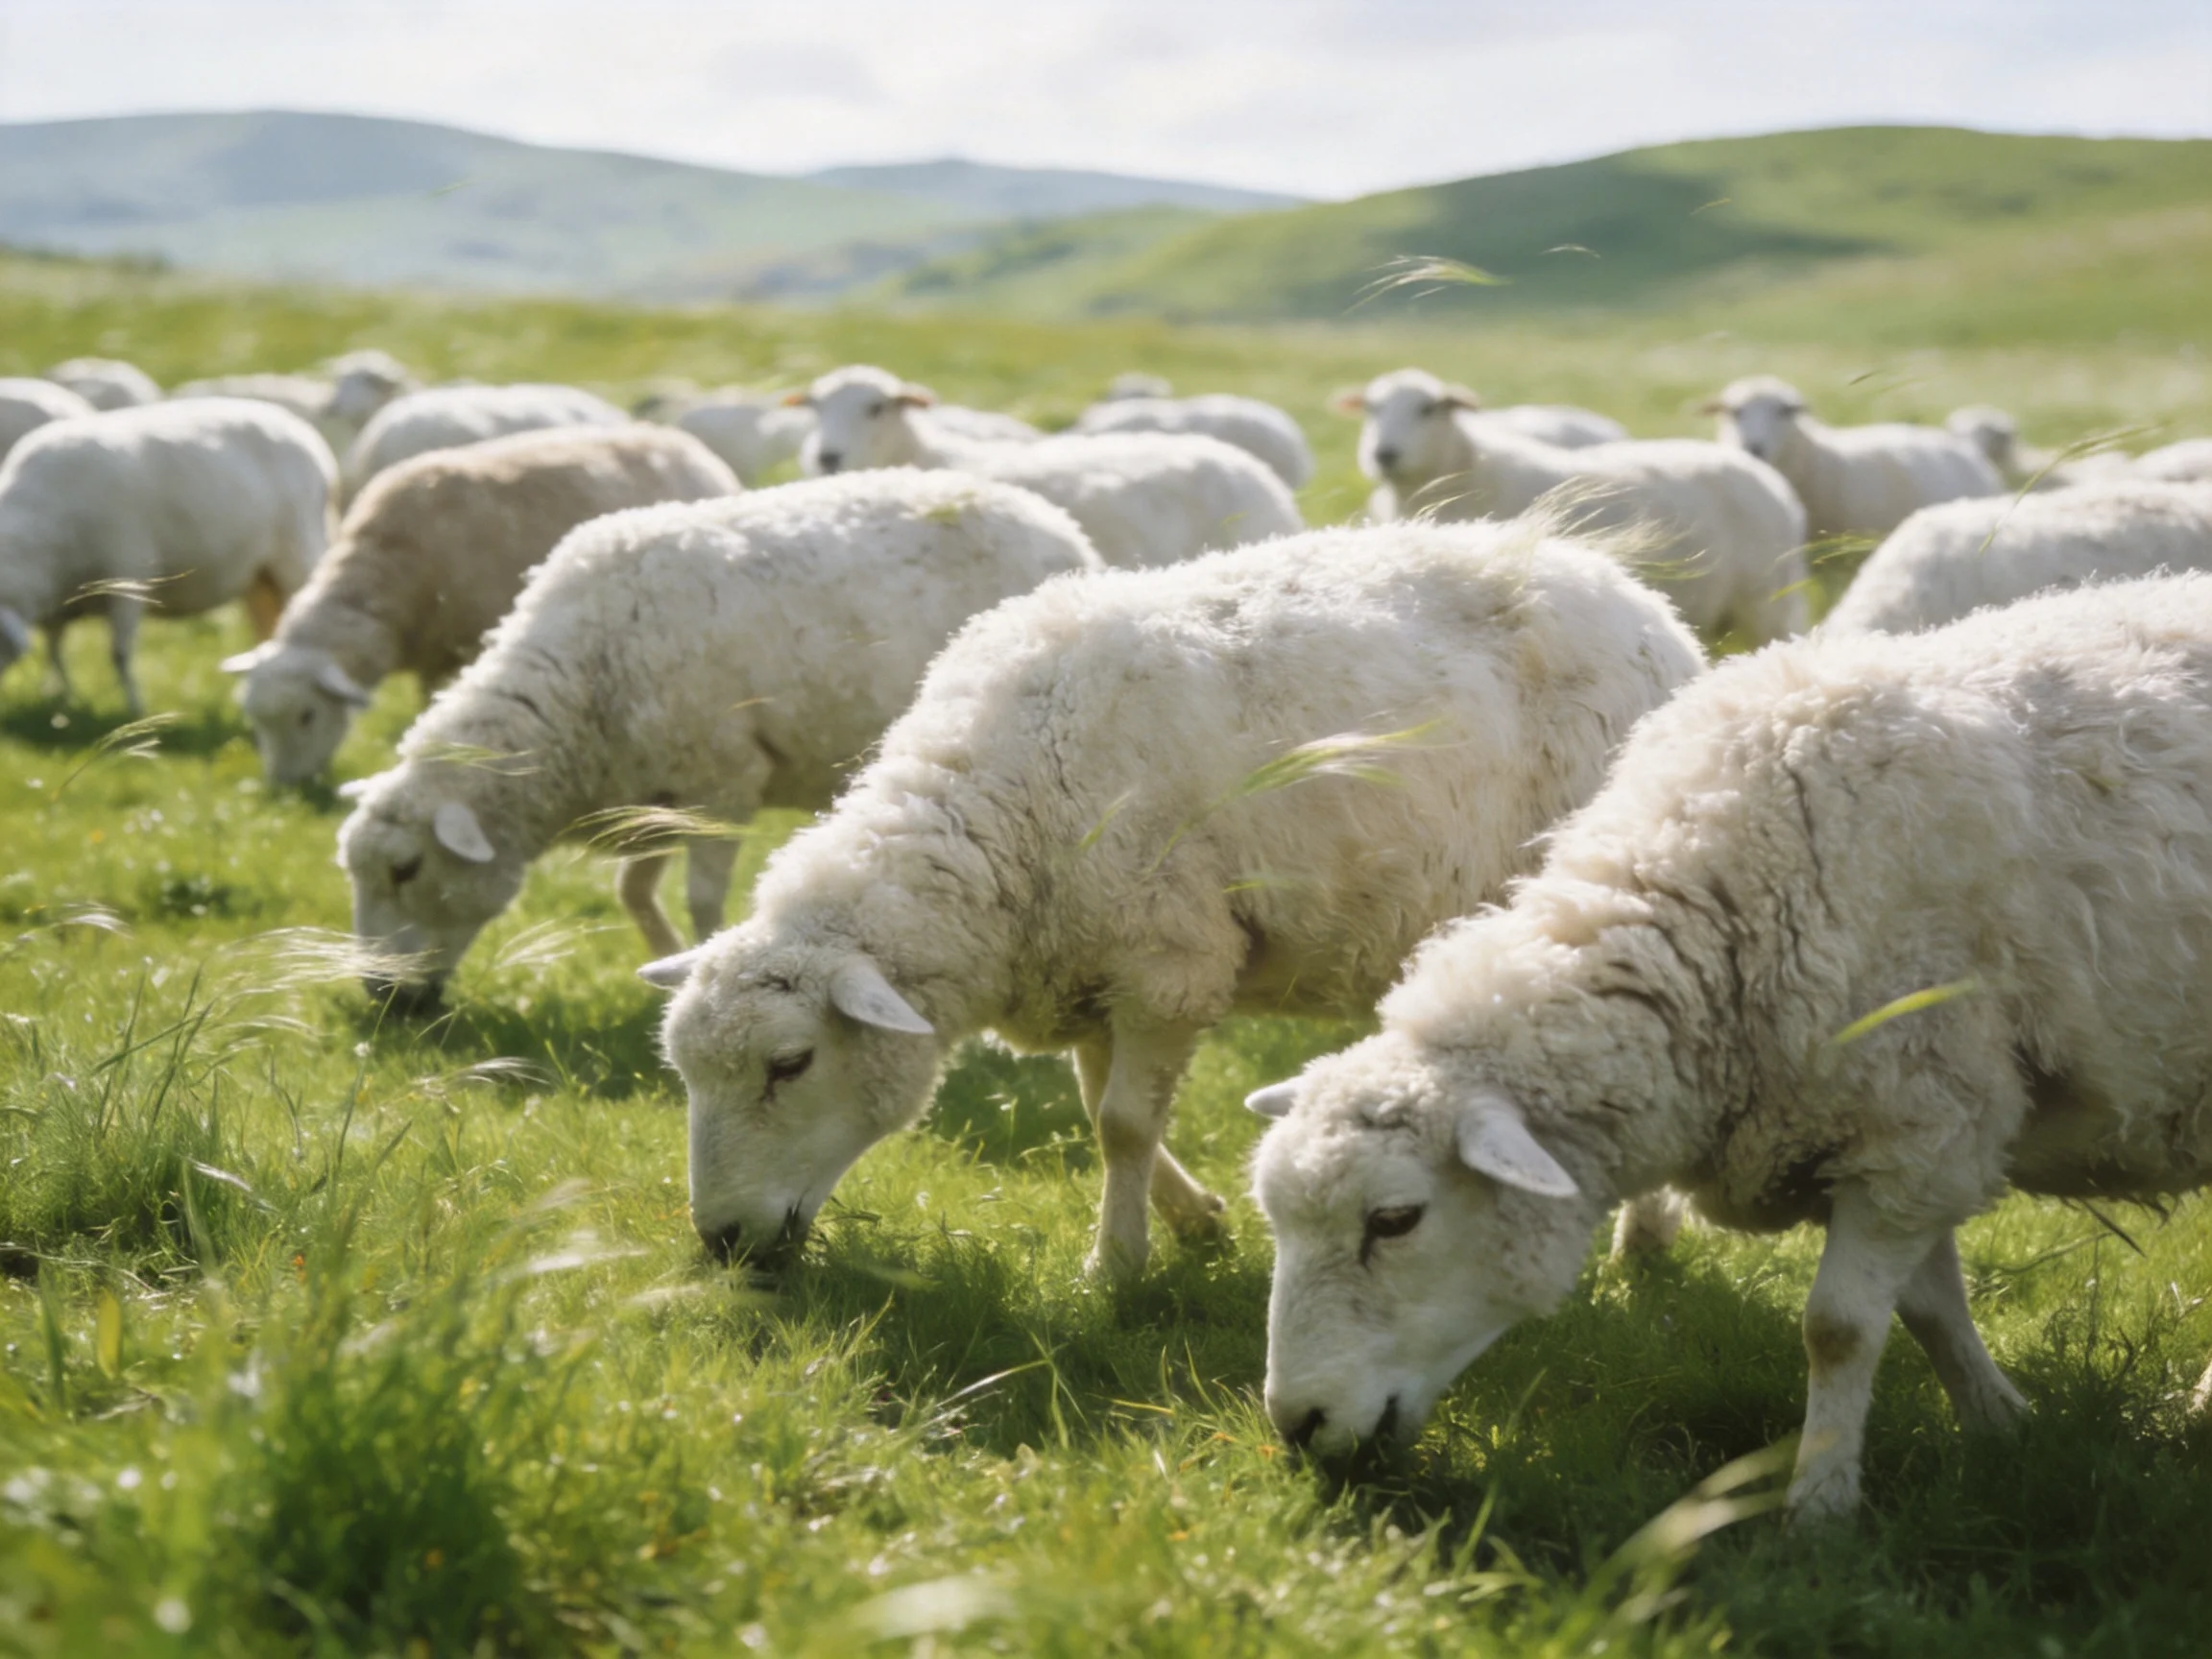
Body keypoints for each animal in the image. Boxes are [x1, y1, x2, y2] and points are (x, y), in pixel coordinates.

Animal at [0, 399, 334, 715]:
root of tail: (303, 432)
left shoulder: (127, 576)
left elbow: (119, 653)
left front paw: (134, 708)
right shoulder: (58, 600)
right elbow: (54, 648)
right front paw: (63, 696)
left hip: (297, 553)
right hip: (259, 578)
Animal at [338, 471, 1102, 1005]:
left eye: (405, 869)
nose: (382, 996)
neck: (584, 681)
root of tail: (1057, 524)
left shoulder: (722, 781)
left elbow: (702, 898)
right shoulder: (653, 795)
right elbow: (632, 890)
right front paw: (663, 970)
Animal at [644, 516, 1704, 1279]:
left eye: (788, 1064)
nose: (721, 1242)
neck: (1006, 809)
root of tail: (1656, 614)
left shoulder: (1169, 963)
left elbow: (1119, 1124)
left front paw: (1116, 1267)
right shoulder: (1086, 967)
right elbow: (1099, 1107)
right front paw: (1193, 1220)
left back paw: (1645, 1240)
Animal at [1246, 572, 2212, 1519]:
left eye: (1394, 1220)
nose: (1297, 1425)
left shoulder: (1918, 1122)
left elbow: (1838, 1328)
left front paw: (1818, 1506)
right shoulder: (1905, 1133)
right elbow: (1931, 1309)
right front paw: (2002, 1424)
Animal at [1345, 369, 1807, 645]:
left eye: (1427, 408)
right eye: (1371, 409)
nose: (1384, 454)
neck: (1468, 466)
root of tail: (1771, 482)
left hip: (1768, 604)